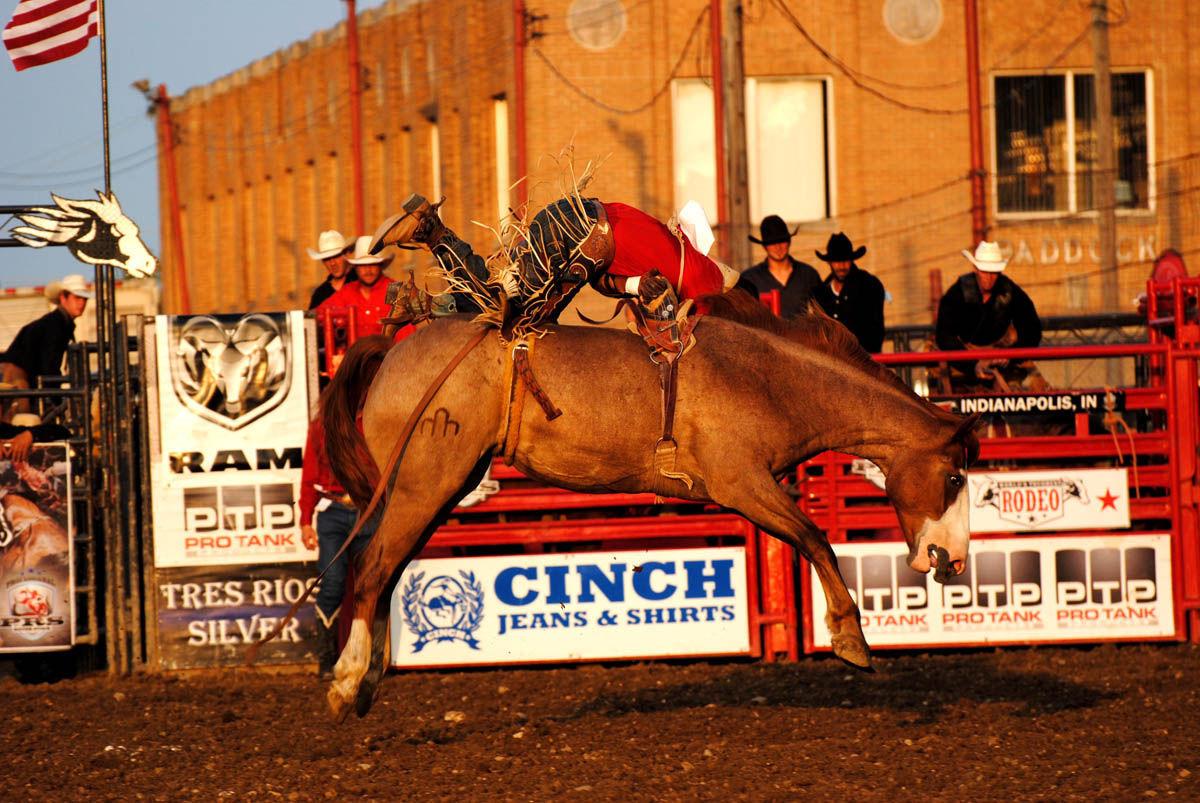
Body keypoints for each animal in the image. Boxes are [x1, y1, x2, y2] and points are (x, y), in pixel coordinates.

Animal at [307, 291, 974, 715]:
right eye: (954, 477)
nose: (953, 562)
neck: (769, 378)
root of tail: (392, 350)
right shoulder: (742, 483)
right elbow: (815, 538)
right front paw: (851, 639)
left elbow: (810, 539)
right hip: (423, 484)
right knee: (371, 567)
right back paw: (345, 683)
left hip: (436, 488)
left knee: (387, 570)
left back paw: (367, 684)